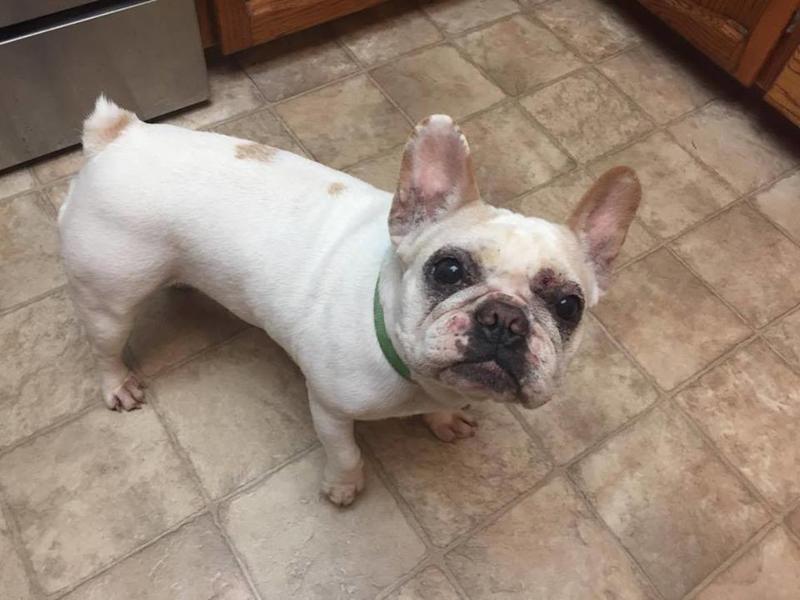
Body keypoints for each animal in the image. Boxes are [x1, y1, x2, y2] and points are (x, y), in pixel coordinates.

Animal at [59, 96, 640, 506]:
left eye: (568, 306)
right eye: (448, 270)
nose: (505, 317)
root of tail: (120, 136)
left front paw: (443, 421)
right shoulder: (329, 408)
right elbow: (345, 452)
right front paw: (344, 487)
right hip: (110, 297)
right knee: (105, 346)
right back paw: (118, 384)